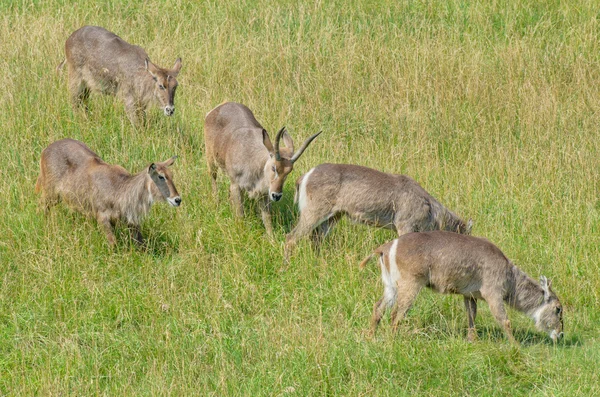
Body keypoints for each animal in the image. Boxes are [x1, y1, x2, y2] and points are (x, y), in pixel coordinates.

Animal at [34, 138, 180, 244]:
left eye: (172, 175)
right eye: (161, 176)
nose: (177, 199)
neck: (120, 190)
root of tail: (45, 150)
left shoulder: (131, 222)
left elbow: (141, 242)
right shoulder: (102, 217)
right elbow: (113, 243)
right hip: (50, 193)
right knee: (41, 206)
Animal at [204, 100, 322, 235]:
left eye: (289, 171)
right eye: (274, 167)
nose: (277, 195)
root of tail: (219, 107)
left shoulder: (264, 194)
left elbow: (267, 218)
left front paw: (272, 238)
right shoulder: (236, 185)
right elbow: (240, 214)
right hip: (211, 160)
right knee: (213, 178)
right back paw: (216, 202)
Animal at [286, 162, 474, 258]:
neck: (430, 208)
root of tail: (305, 176)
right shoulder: (404, 226)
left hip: (333, 217)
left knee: (315, 239)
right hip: (314, 213)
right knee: (291, 238)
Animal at [358, 230, 564, 342]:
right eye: (558, 309)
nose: (561, 335)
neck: (510, 276)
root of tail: (385, 247)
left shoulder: (470, 295)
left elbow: (471, 317)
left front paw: (472, 340)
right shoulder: (493, 294)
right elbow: (504, 320)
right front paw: (516, 346)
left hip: (390, 286)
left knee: (378, 308)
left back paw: (370, 337)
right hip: (411, 284)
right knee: (396, 314)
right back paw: (393, 340)